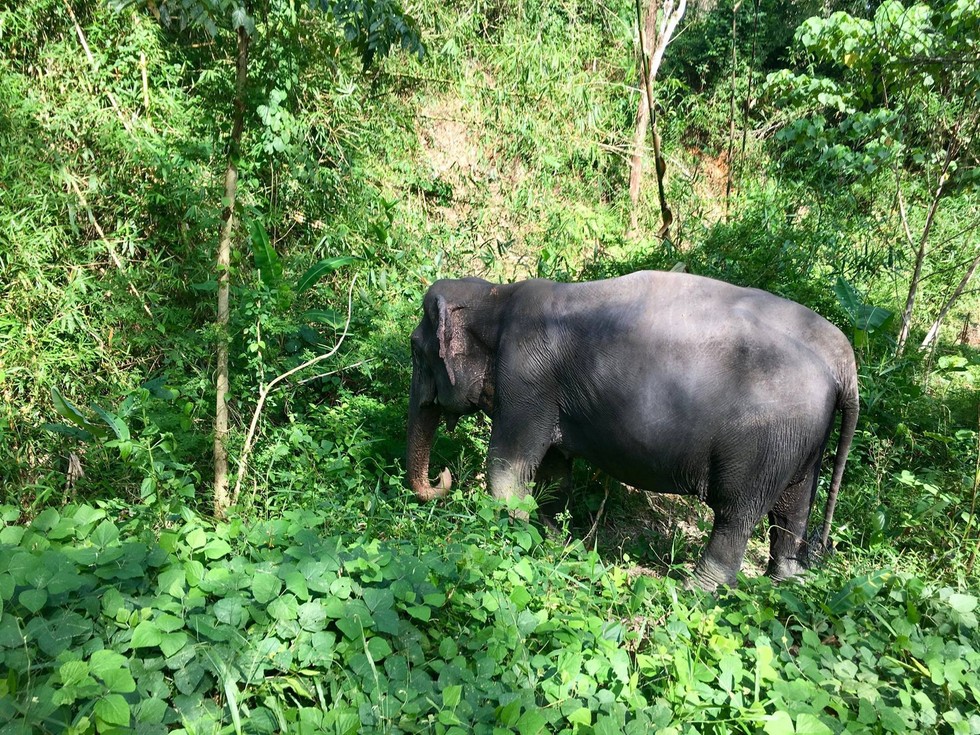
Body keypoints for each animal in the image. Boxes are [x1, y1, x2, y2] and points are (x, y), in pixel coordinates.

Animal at [406, 274, 856, 588]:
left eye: (414, 349)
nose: (443, 477)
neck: (498, 294)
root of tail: (844, 366)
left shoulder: (526, 377)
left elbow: (507, 471)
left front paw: (522, 536)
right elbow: (555, 472)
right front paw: (556, 541)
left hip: (765, 443)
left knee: (736, 514)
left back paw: (692, 590)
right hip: (803, 443)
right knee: (792, 510)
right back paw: (786, 584)